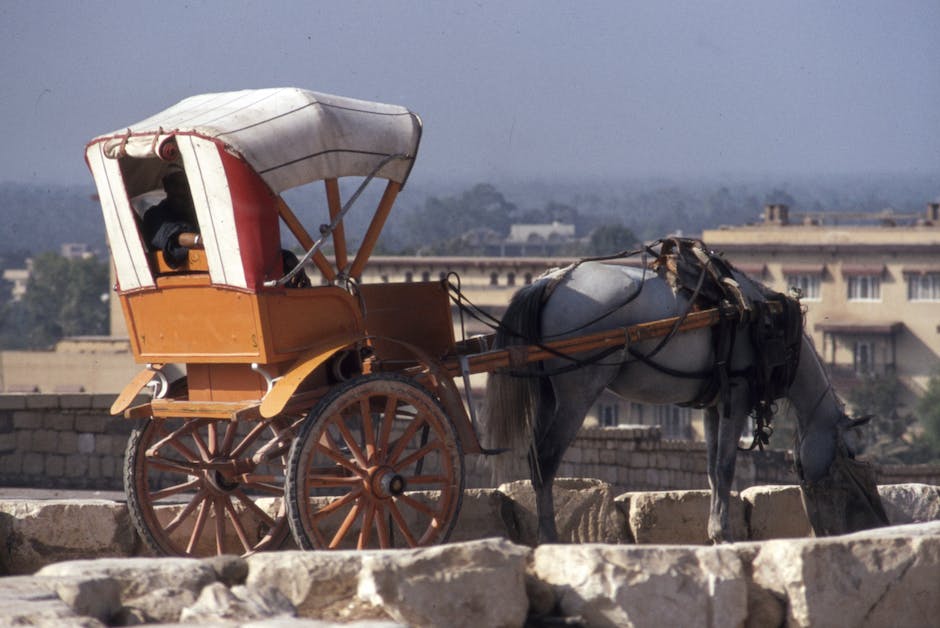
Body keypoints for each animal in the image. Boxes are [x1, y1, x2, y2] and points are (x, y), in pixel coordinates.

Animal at [484, 243, 888, 544]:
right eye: (852, 452)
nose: (869, 517)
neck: (769, 323)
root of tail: (552, 280)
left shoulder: (713, 406)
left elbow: (711, 470)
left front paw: (714, 530)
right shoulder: (737, 397)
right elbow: (725, 468)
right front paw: (723, 534)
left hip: (548, 393)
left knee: (536, 456)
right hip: (577, 393)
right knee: (547, 457)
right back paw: (549, 538)